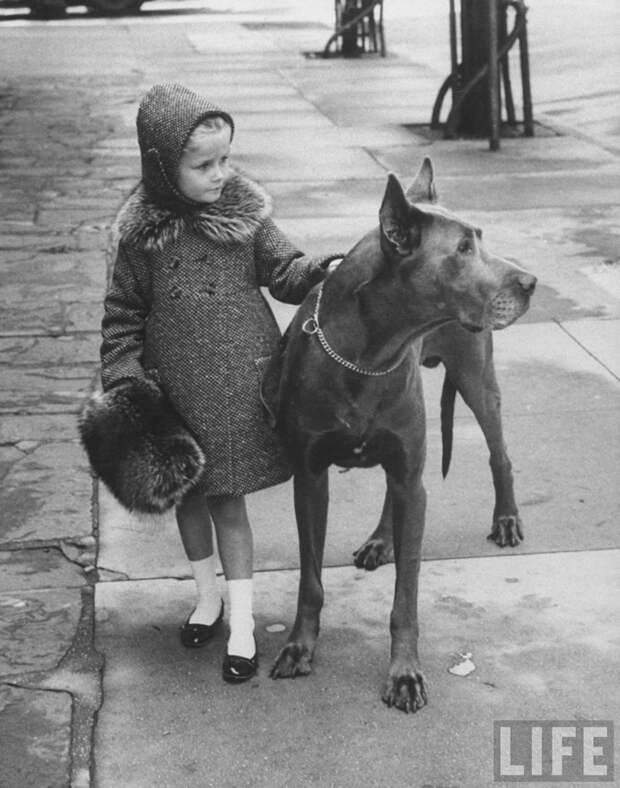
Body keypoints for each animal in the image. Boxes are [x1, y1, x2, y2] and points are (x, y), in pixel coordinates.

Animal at [268, 157, 536, 712]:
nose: (531, 282)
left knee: (499, 454)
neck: (369, 352)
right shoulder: (310, 478)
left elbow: (405, 598)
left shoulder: (415, 480)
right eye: (462, 249)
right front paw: (300, 646)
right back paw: (379, 540)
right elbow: (310, 579)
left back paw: (505, 518)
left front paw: (405, 673)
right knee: (395, 490)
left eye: (480, 238)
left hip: (476, 380)